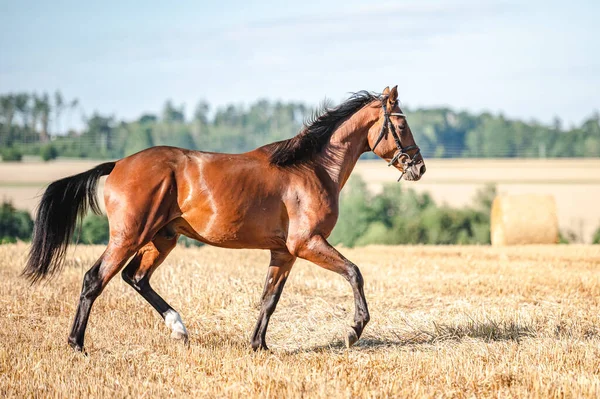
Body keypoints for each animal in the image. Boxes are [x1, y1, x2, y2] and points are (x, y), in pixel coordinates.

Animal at [22, 85, 426, 354]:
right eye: (401, 124)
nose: (419, 167)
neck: (311, 168)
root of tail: (118, 164)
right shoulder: (307, 243)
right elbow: (354, 273)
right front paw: (354, 330)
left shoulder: (284, 253)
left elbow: (269, 298)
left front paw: (259, 345)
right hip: (129, 236)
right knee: (95, 279)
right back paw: (77, 345)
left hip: (162, 238)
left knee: (135, 278)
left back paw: (179, 328)